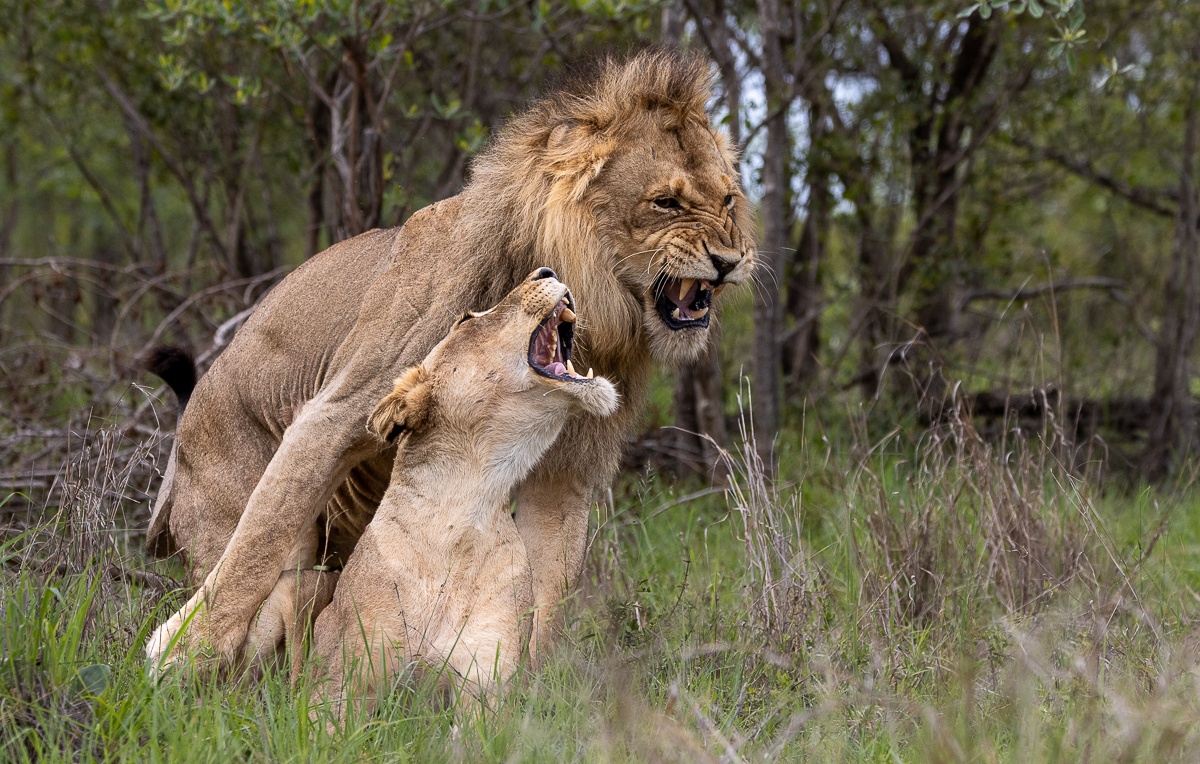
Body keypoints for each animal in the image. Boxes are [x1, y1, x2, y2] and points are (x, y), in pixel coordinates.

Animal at [144, 50, 756, 671]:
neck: (603, 307)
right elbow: (256, 546)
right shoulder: (335, 413)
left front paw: (529, 682)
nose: (731, 260)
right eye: (666, 203)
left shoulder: (569, 466)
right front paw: (183, 654)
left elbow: (549, 583)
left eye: (728, 200)